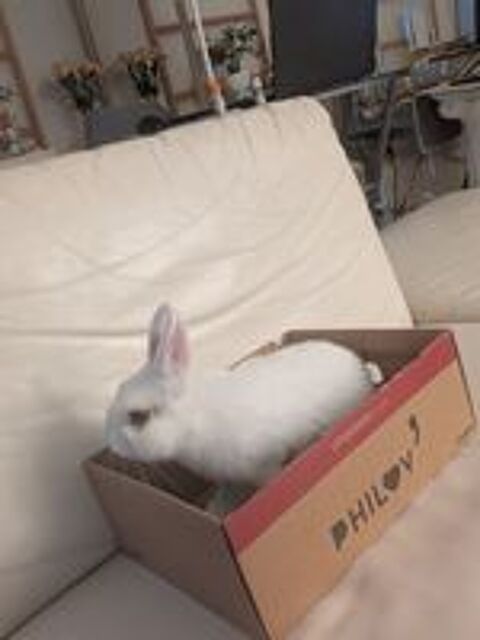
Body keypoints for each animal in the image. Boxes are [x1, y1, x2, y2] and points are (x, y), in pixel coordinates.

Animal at [105, 303, 383, 486]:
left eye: (138, 416)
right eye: (118, 388)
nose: (111, 444)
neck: (196, 418)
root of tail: (360, 367)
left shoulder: (265, 464)